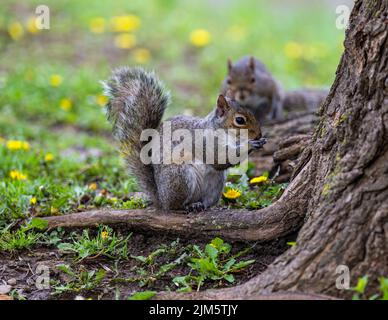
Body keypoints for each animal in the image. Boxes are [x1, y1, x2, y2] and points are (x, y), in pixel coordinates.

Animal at [104, 67, 266, 212]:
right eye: (239, 120)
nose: (258, 135)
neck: (223, 132)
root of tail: (161, 198)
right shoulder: (205, 142)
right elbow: (220, 158)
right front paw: (250, 144)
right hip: (180, 177)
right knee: (175, 206)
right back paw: (187, 206)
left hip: (216, 183)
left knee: (207, 201)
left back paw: (201, 204)